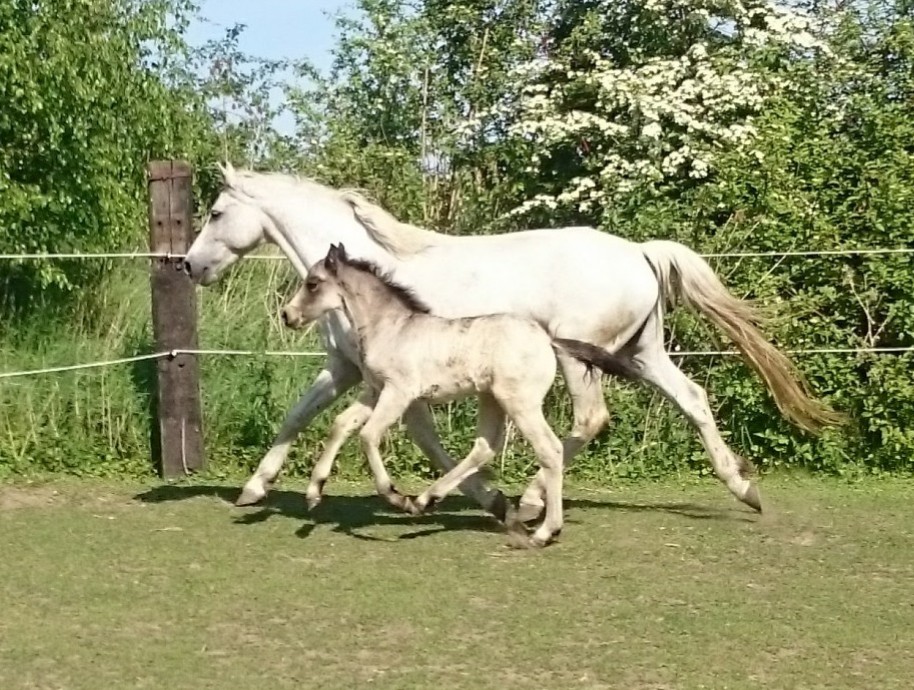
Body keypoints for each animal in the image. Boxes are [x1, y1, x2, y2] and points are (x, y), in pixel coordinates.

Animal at [280, 243, 637, 546]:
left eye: (313, 283)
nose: (287, 315)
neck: (392, 328)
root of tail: (547, 339)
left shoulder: (399, 392)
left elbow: (367, 436)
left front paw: (395, 496)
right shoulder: (375, 390)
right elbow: (341, 424)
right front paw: (313, 494)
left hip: (520, 403)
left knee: (549, 450)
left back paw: (544, 532)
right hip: (492, 399)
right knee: (485, 447)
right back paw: (428, 500)